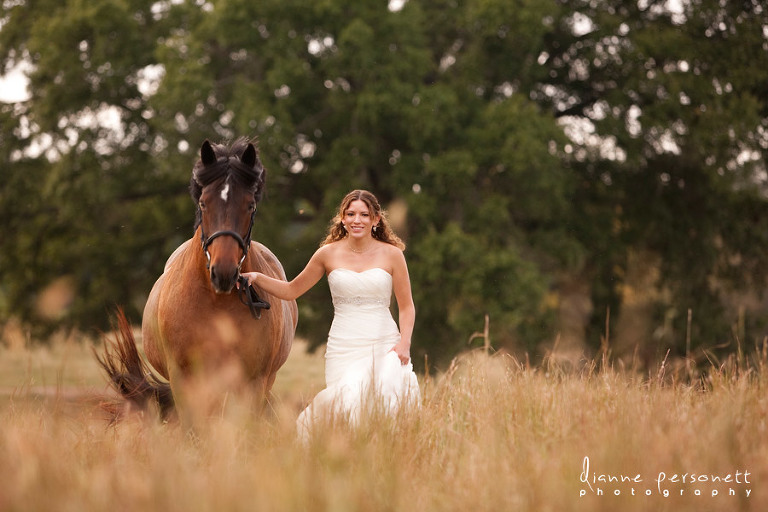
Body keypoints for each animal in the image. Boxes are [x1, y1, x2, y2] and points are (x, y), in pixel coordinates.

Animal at [97, 138, 298, 421]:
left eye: (250, 205)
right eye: (203, 203)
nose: (223, 273)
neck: (216, 305)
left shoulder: (253, 383)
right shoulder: (185, 381)